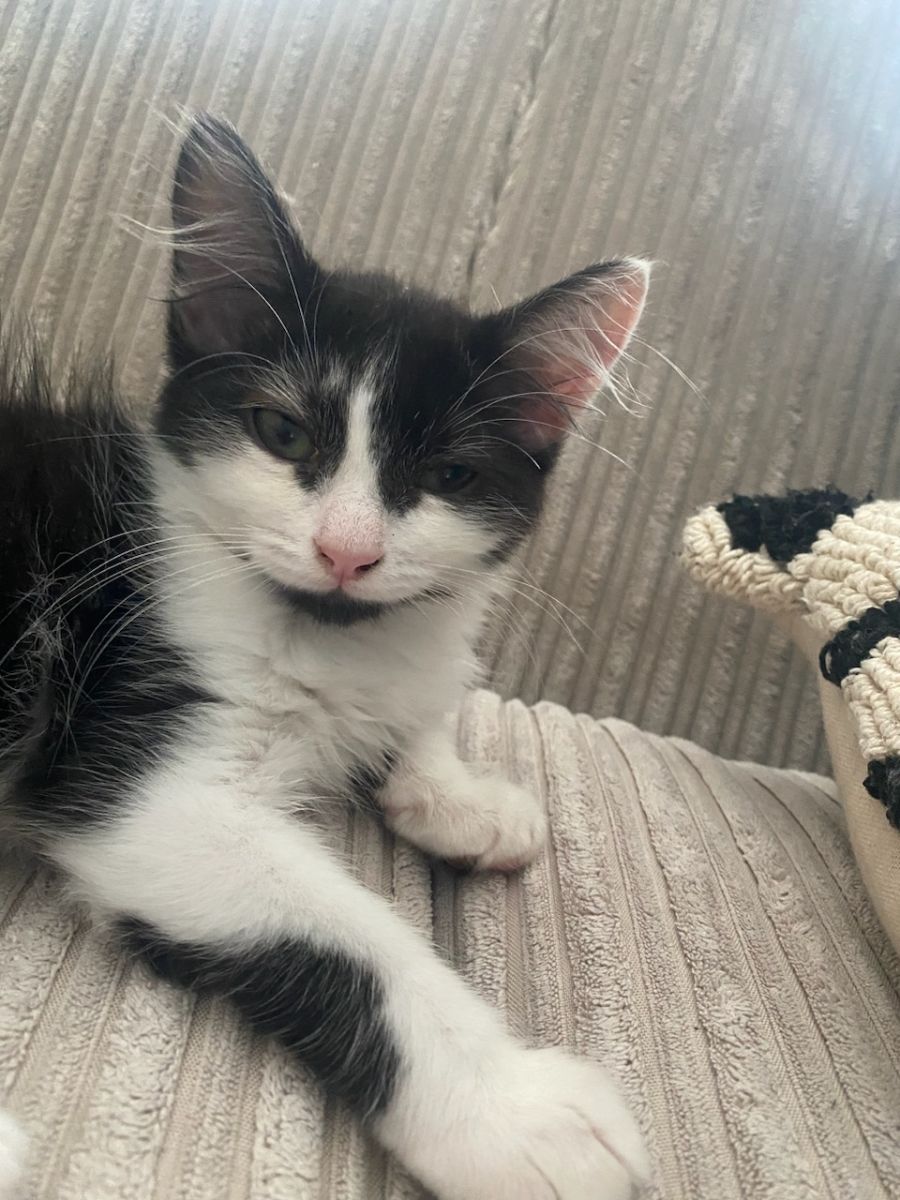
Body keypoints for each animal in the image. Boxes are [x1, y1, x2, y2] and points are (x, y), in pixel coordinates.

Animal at [0, 115, 650, 1200]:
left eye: (448, 476)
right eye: (282, 432)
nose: (348, 551)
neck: (322, 631)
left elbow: (418, 709)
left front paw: (457, 793)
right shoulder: (133, 752)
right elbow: (355, 937)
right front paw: (513, 1109)